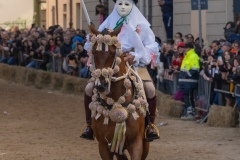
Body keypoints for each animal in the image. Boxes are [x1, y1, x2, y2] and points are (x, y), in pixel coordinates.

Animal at [87, 25, 149, 160]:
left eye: (112, 53)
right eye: (93, 52)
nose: (101, 85)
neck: (116, 102)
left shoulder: (136, 143)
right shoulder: (104, 146)